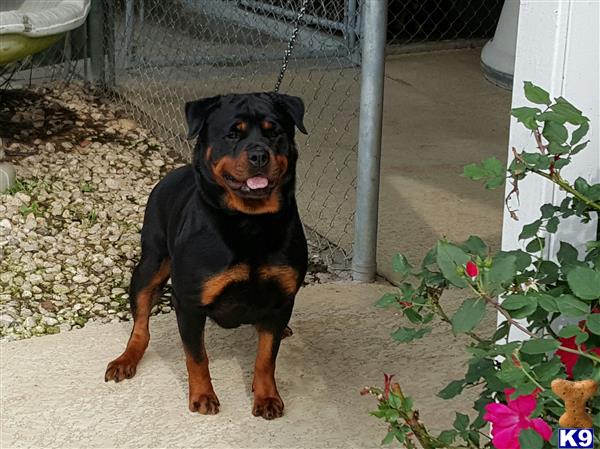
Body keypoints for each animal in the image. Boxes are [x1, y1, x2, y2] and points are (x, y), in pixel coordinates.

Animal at [104, 93, 310, 418]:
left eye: (274, 132)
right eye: (232, 134)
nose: (259, 155)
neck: (250, 223)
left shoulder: (281, 298)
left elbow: (266, 357)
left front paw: (266, 396)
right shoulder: (189, 303)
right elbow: (197, 356)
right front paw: (202, 395)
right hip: (150, 265)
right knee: (141, 323)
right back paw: (127, 358)